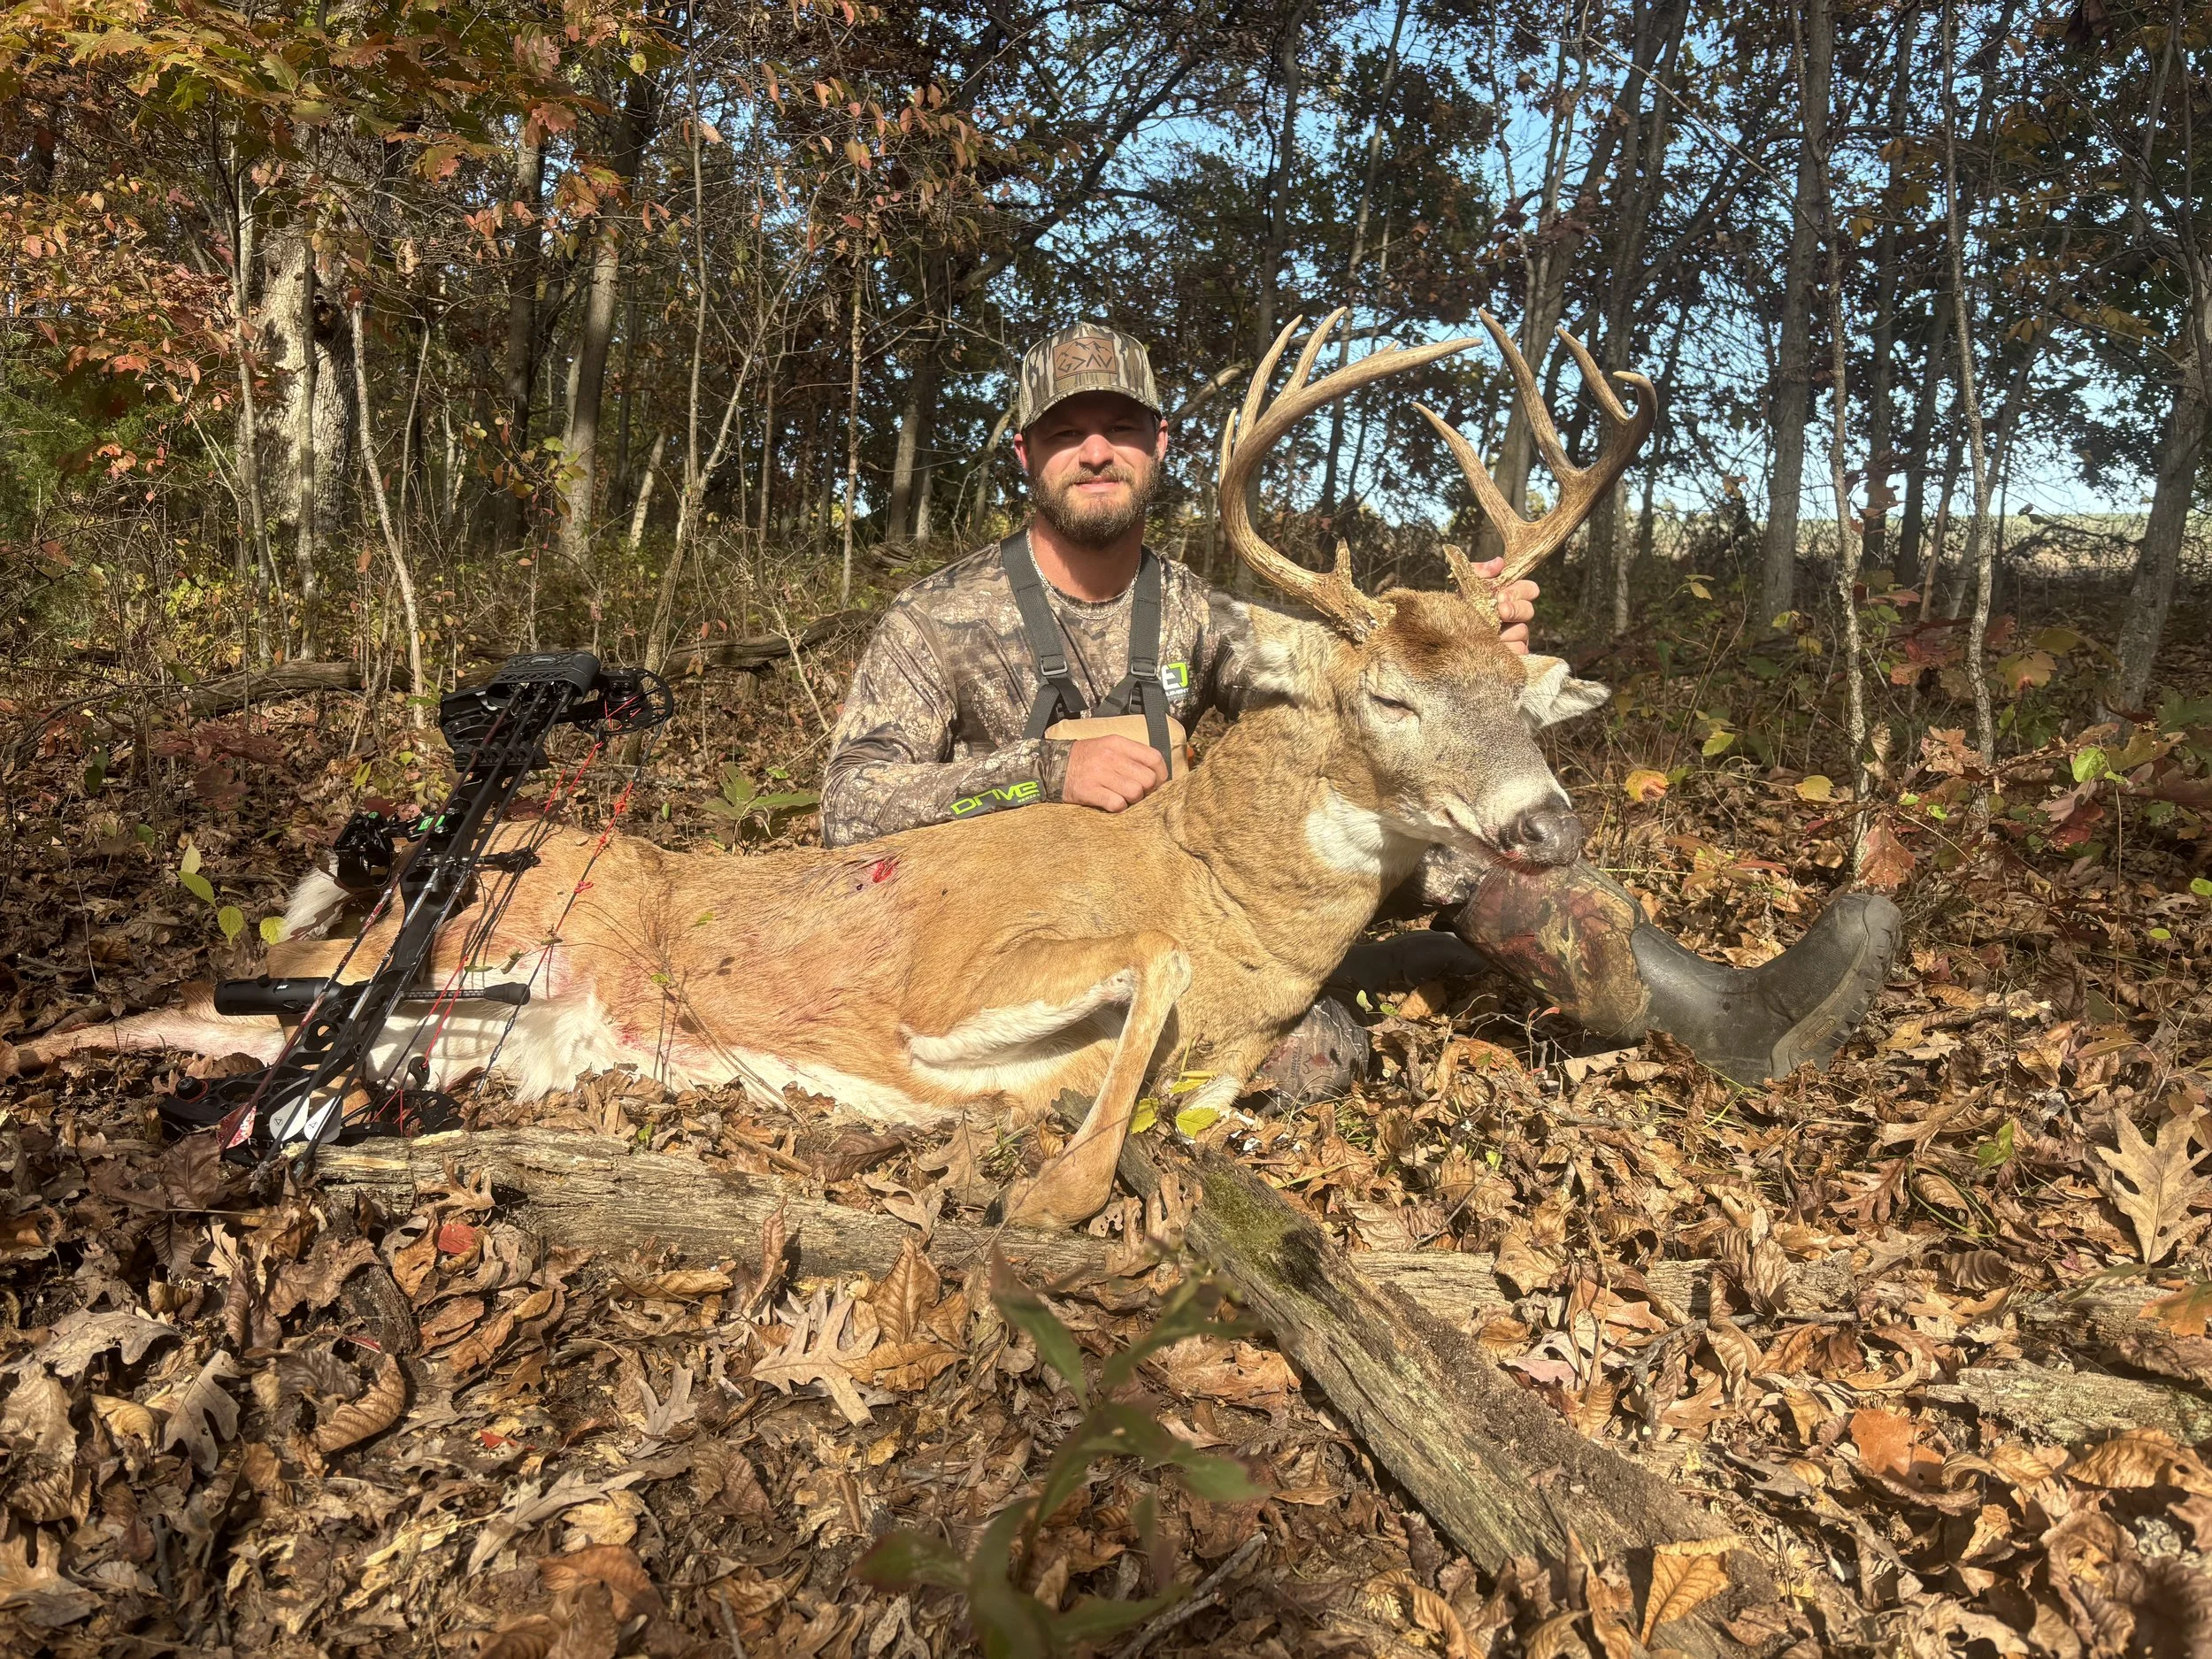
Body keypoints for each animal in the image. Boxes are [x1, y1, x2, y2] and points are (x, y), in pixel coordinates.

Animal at [7, 311, 1654, 1229]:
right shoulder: (958, 971)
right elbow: (1141, 989)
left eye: (1524, 694)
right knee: (187, 1007)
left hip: (444, 1022)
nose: (1547, 822)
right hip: (433, 947)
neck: (1218, 885)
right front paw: (1057, 1184)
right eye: (1388, 692)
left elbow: (1215, 1082)